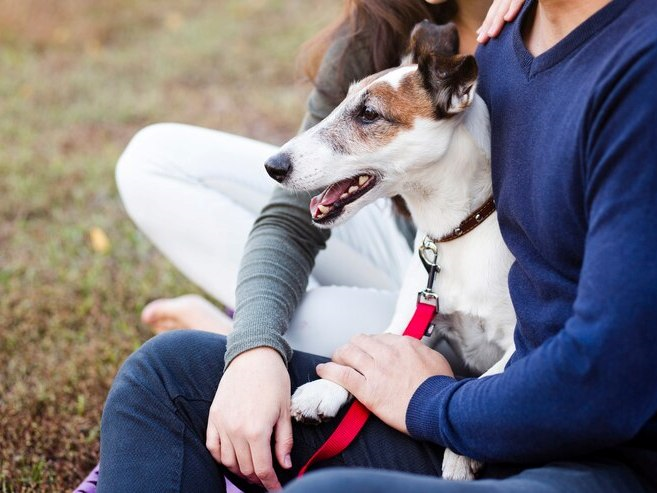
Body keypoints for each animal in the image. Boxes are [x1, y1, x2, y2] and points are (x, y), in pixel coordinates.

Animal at [264, 21, 516, 478]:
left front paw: (461, 454)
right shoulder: (416, 318)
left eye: (369, 114)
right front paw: (326, 388)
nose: (273, 166)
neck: (460, 231)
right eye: (343, 102)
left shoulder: (525, 342)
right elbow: (376, 350)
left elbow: (492, 379)